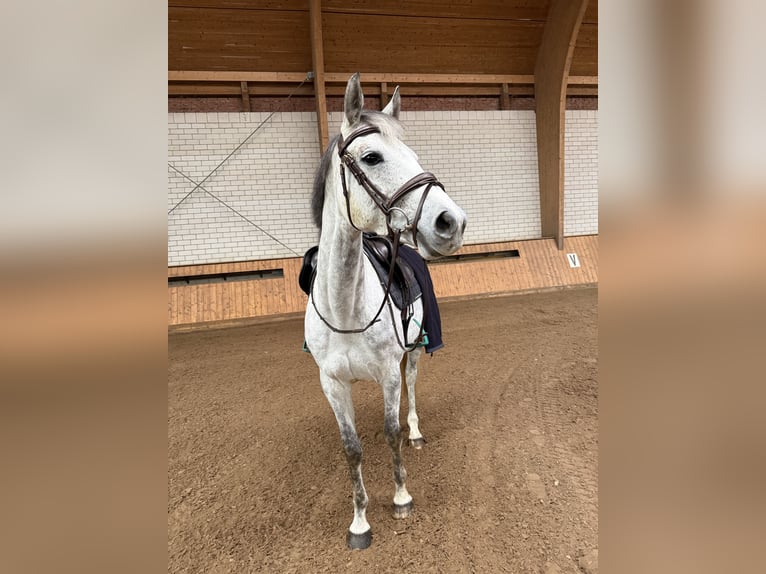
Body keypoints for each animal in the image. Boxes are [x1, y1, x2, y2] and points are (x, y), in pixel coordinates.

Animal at [304, 73, 467, 550]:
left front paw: (400, 497)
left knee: (411, 389)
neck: (346, 308)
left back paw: (416, 432)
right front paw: (359, 521)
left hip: (411, 354)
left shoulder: (388, 374)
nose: (451, 221)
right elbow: (351, 448)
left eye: (413, 155)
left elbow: (391, 432)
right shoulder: (332, 383)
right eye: (371, 157)